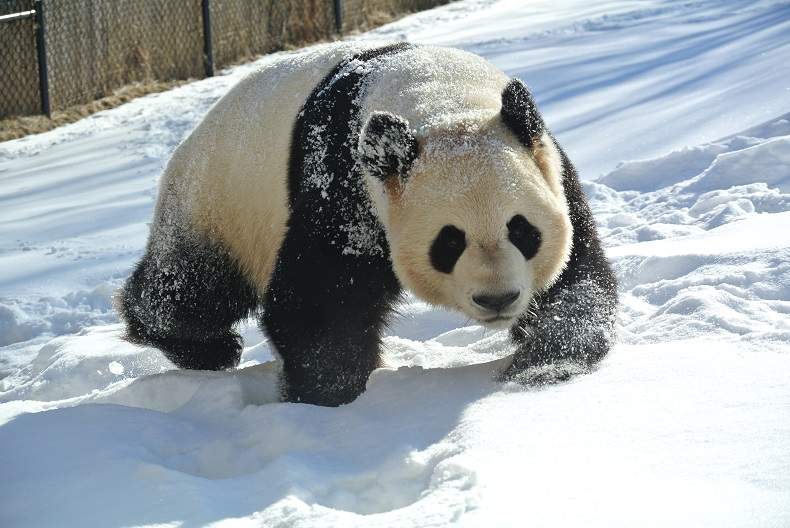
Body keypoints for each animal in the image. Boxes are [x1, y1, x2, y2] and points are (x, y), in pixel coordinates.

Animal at [119, 41, 618, 406]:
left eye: (522, 230)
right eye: (449, 242)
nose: (497, 299)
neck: (442, 102)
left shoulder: (548, 167)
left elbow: (577, 277)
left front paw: (542, 365)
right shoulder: (342, 183)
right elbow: (320, 298)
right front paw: (329, 393)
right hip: (219, 204)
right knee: (188, 291)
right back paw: (205, 345)